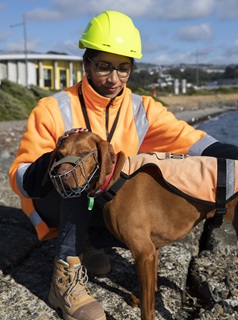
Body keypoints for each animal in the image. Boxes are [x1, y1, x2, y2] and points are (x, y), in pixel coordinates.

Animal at [48, 131, 238, 320]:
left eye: (84, 153)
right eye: (60, 154)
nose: (63, 177)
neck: (116, 180)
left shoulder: (144, 252)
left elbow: (148, 307)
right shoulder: (152, 250)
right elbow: (151, 288)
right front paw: (141, 298)